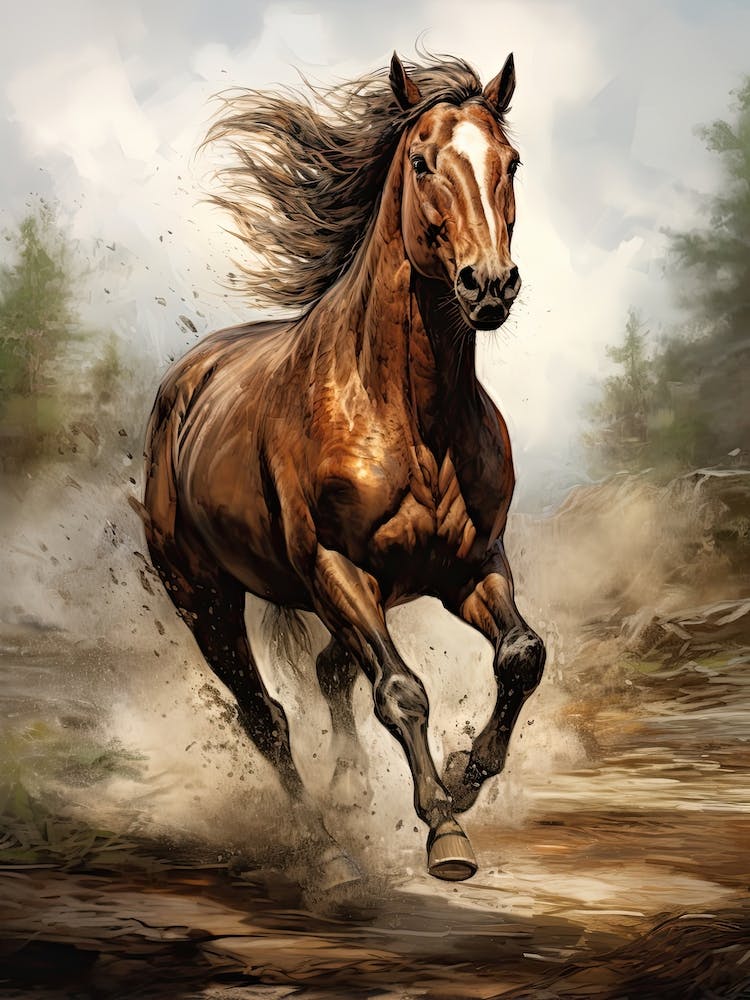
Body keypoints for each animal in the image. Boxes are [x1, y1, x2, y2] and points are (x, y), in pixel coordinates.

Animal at [141, 51, 546, 883]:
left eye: (511, 161)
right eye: (422, 161)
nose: (489, 285)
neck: (413, 418)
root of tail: (185, 383)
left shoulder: (470, 565)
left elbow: (523, 655)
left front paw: (464, 777)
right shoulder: (334, 566)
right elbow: (400, 691)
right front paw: (445, 834)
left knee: (328, 674)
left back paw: (353, 791)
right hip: (204, 597)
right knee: (265, 716)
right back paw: (325, 849)